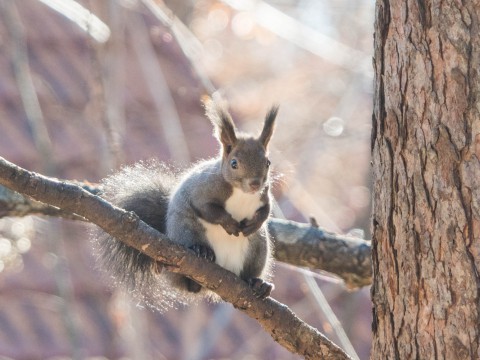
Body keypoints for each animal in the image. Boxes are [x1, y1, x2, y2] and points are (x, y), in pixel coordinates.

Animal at [92, 99, 278, 312]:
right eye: (234, 163)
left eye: (268, 162)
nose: (255, 183)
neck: (242, 193)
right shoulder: (203, 191)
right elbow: (208, 210)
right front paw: (230, 224)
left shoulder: (265, 195)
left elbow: (266, 211)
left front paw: (254, 223)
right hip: (186, 231)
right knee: (191, 281)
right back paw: (201, 253)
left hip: (257, 249)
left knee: (248, 271)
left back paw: (258, 283)